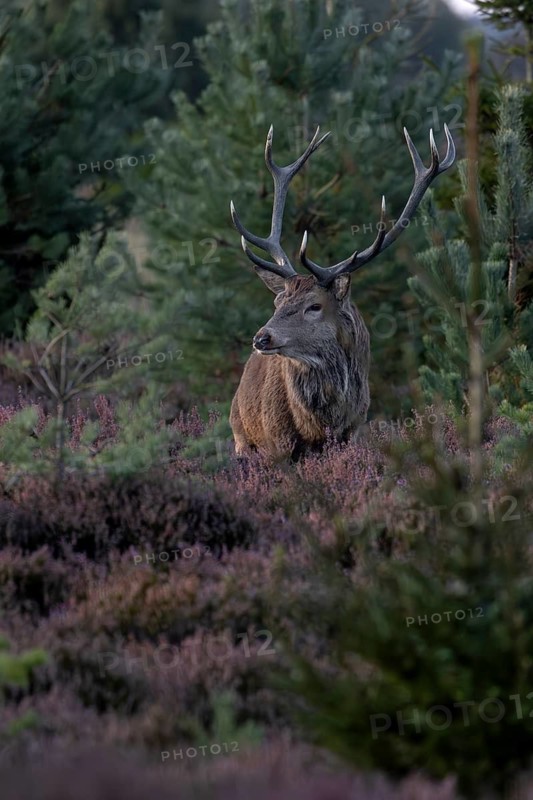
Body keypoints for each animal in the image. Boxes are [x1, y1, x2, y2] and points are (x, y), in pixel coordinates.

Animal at [229, 123, 455, 460]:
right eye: (278, 301)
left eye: (314, 306)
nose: (261, 338)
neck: (323, 423)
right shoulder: (278, 441)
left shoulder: (355, 429)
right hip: (241, 437)